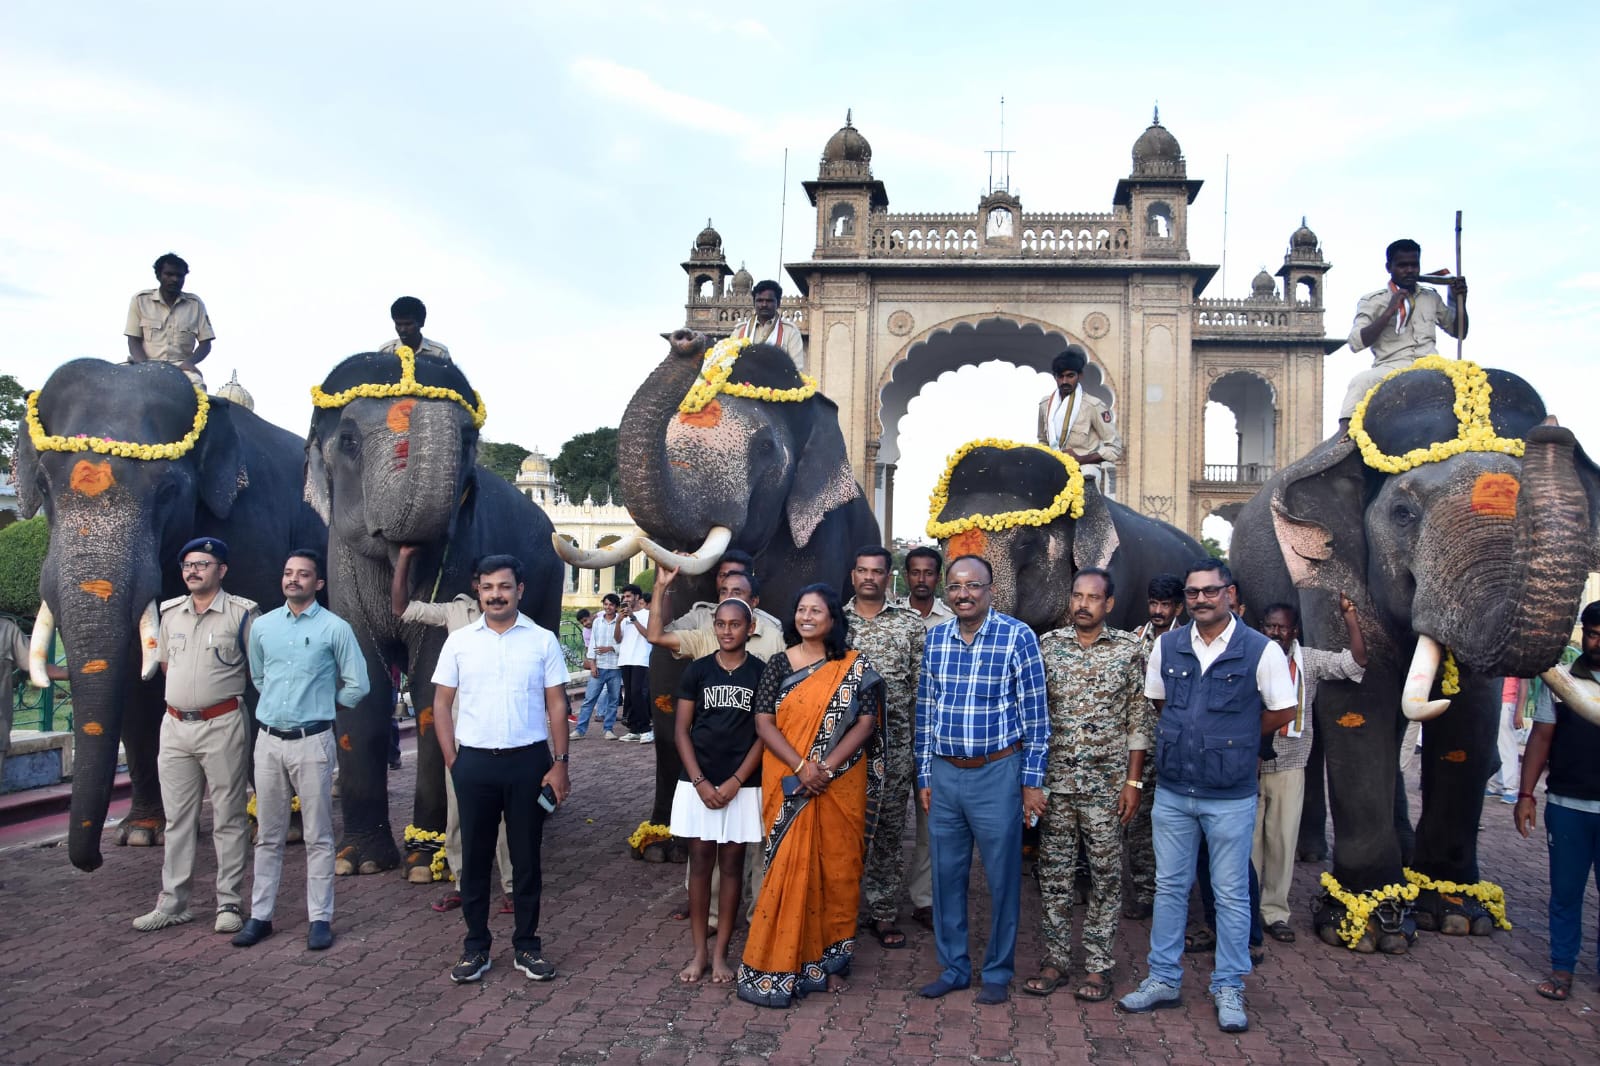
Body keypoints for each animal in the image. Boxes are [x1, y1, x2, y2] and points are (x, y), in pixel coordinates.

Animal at [11, 356, 324, 870]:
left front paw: (285, 829)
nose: (91, 862)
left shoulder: (257, 530)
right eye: (41, 485)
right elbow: (136, 684)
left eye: (167, 491)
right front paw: (141, 834)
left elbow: (258, 672)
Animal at [304, 344, 563, 877]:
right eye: (348, 441)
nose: (414, 342)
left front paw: (424, 863)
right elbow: (360, 682)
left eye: (468, 440)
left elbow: (431, 688)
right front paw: (358, 863)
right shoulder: (341, 563)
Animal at [1228, 356, 1593, 947]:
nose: (1554, 432)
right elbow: (1359, 700)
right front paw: (1370, 925)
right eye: (1402, 513)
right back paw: (1317, 856)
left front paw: (1459, 913)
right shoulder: (1325, 563)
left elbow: (1470, 715)